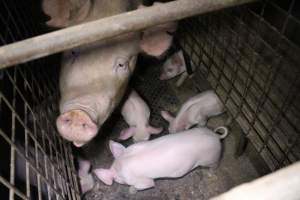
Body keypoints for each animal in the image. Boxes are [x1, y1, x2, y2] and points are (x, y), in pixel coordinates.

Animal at [94, 126, 227, 191]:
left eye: (119, 180)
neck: (122, 164)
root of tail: (216, 136)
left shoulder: (143, 181)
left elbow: (148, 184)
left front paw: (131, 190)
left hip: (211, 158)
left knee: (215, 165)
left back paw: (210, 174)